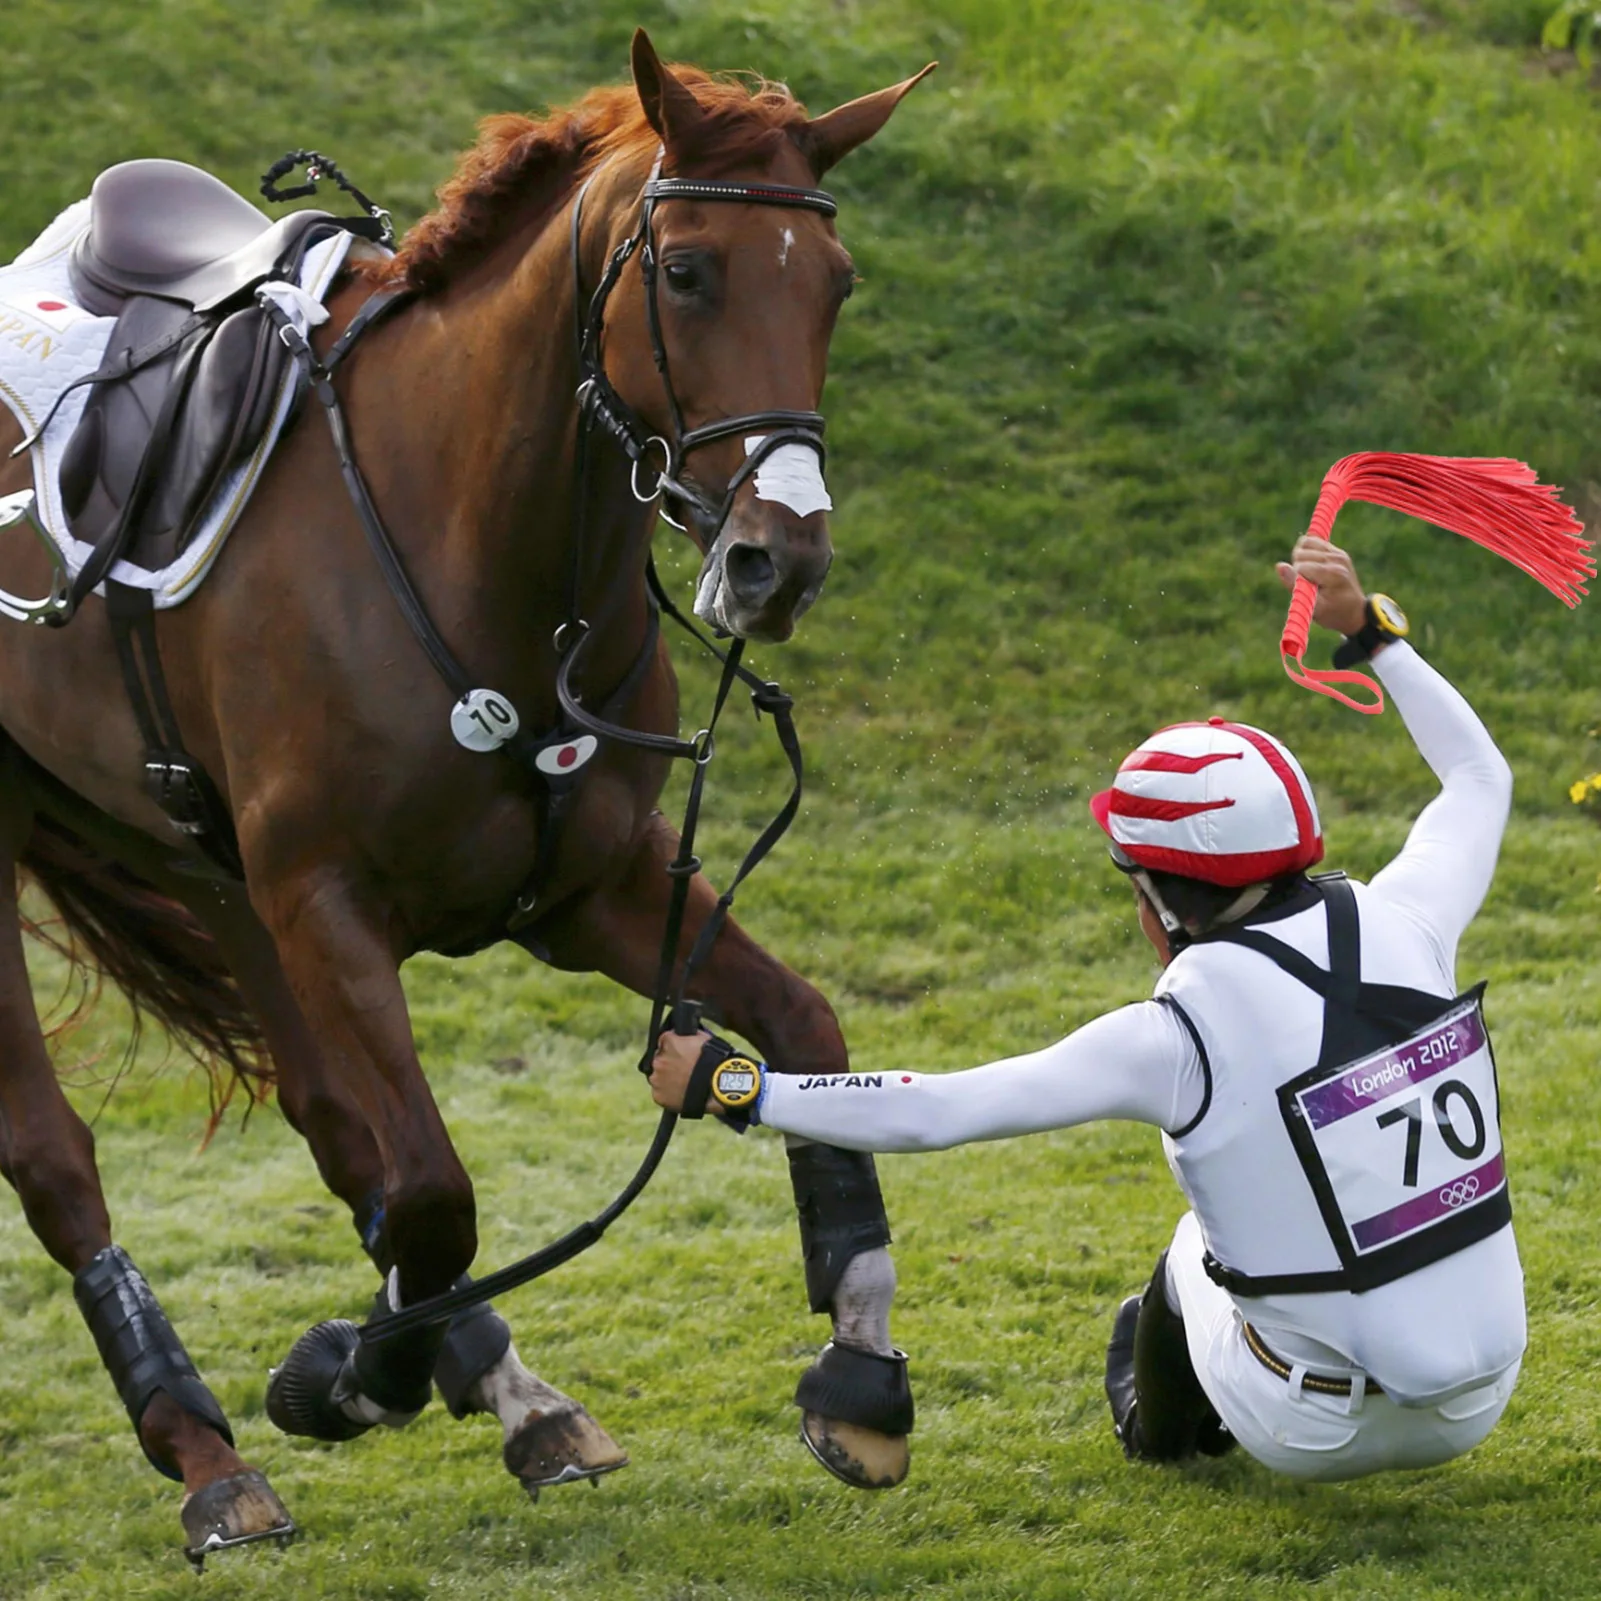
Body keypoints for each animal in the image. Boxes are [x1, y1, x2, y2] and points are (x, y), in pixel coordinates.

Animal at [0, 30, 931, 1559]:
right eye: (687, 272)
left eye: (836, 287)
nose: (776, 562)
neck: (478, 547)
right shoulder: (328, 905)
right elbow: (434, 1189)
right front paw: (351, 1373)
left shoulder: (587, 887)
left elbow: (803, 1026)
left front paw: (857, 1359)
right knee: (60, 1157)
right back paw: (209, 1454)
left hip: (204, 855)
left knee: (333, 1121)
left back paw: (501, 1384)